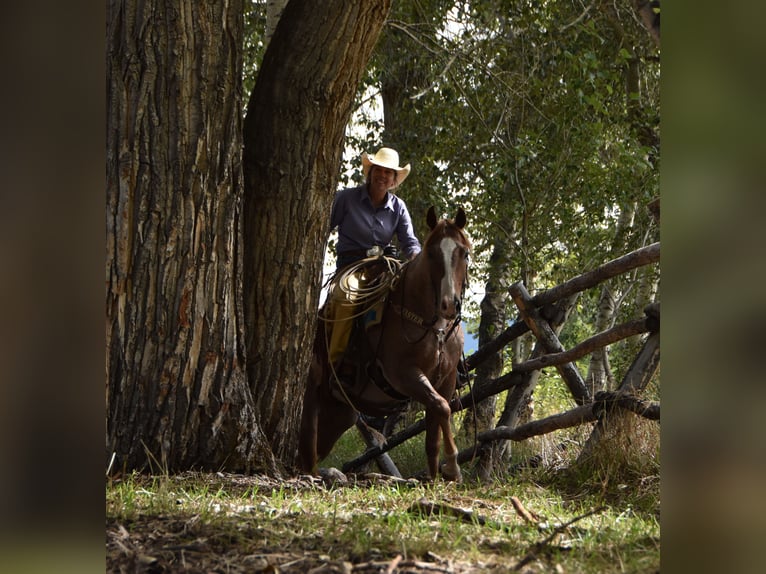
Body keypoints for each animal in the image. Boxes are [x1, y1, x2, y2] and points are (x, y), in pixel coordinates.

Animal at [298, 206, 471, 481]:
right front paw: (453, 466)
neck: (433, 327)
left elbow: (434, 430)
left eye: (463, 252)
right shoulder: (404, 375)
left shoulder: (445, 379)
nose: (448, 305)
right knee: (307, 448)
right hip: (311, 400)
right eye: (432, 253)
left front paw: (435, 477)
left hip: (338, 414)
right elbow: (443, 408)